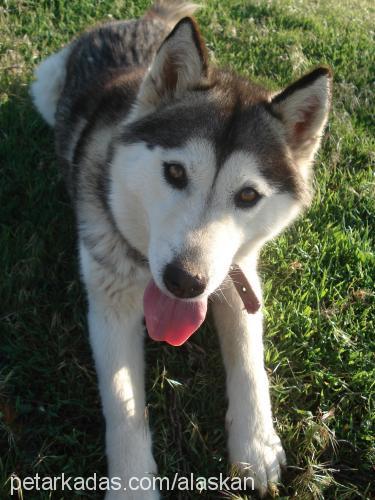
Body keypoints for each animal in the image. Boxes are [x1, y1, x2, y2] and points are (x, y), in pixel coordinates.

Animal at [31, 1, 332, 498]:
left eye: (247, 196)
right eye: (174, 172)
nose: (184, 282)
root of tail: (138, 21)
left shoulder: (238, 275)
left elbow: (251, 362)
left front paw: (256, 444)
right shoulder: (110, 303)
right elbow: (123, 402)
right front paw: (133, 485)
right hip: (44, 83)